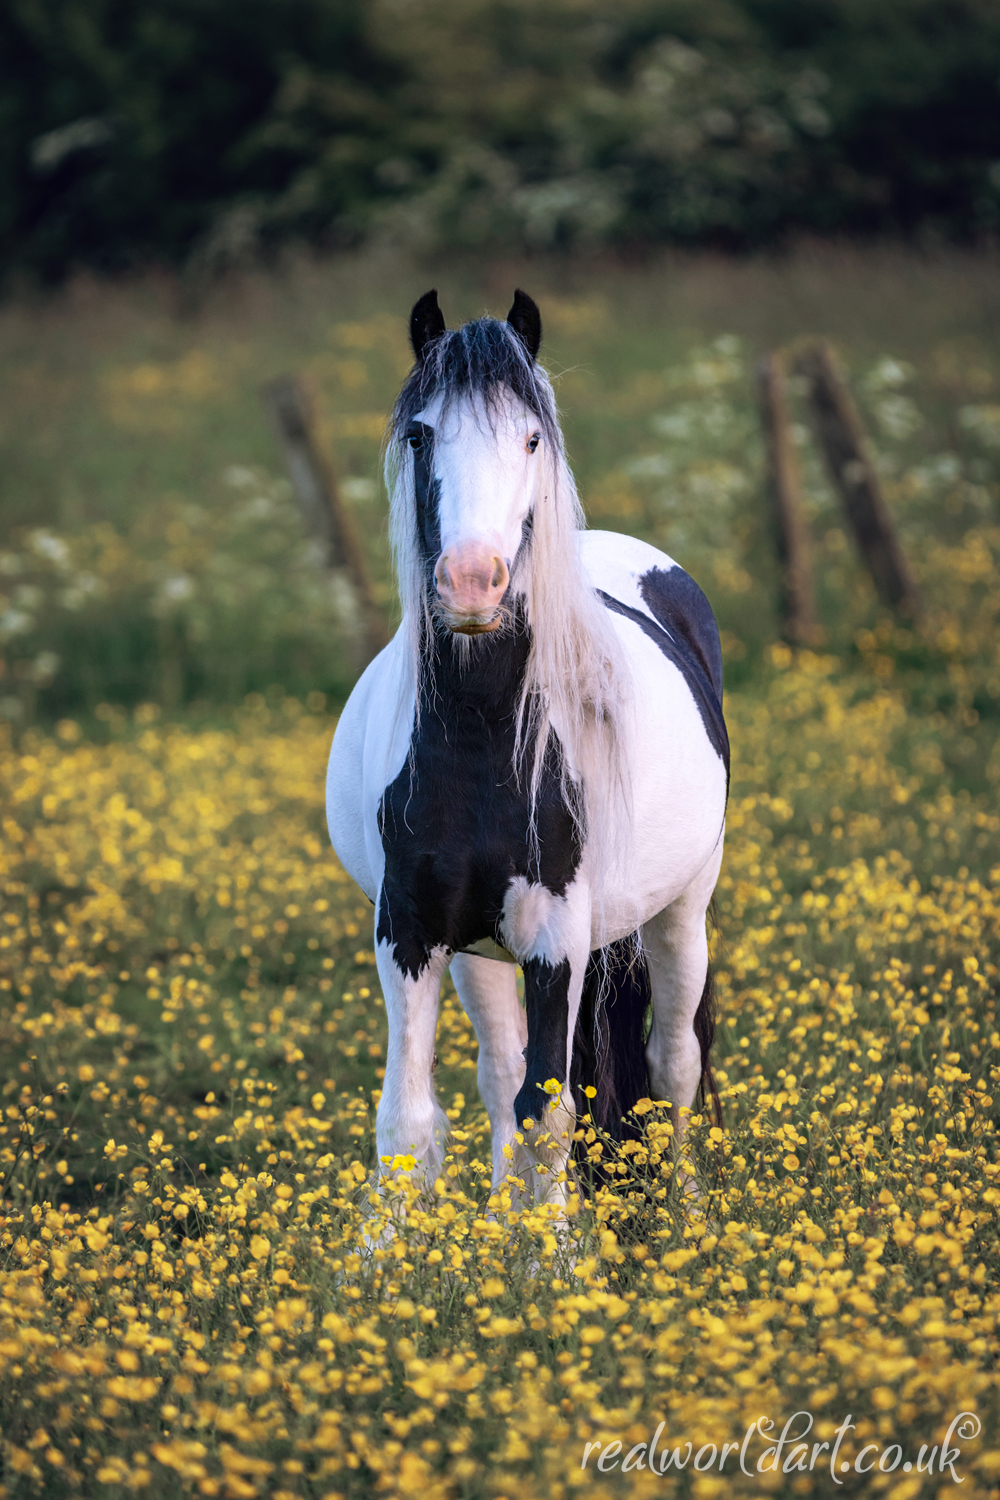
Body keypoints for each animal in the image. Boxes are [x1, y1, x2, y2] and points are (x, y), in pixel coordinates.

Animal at [328, 292, 728, 1206]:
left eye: (532, 438)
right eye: (420, 435)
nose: (473, 582)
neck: (486, 743)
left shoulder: (556, 941)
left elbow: (551, 1115)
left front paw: (552, 1247)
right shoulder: (409, 932)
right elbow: (411, 1123)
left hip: (681, 912)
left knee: (675, 1064)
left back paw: (687, 1212)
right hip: (479, 952)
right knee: (501, 1074)